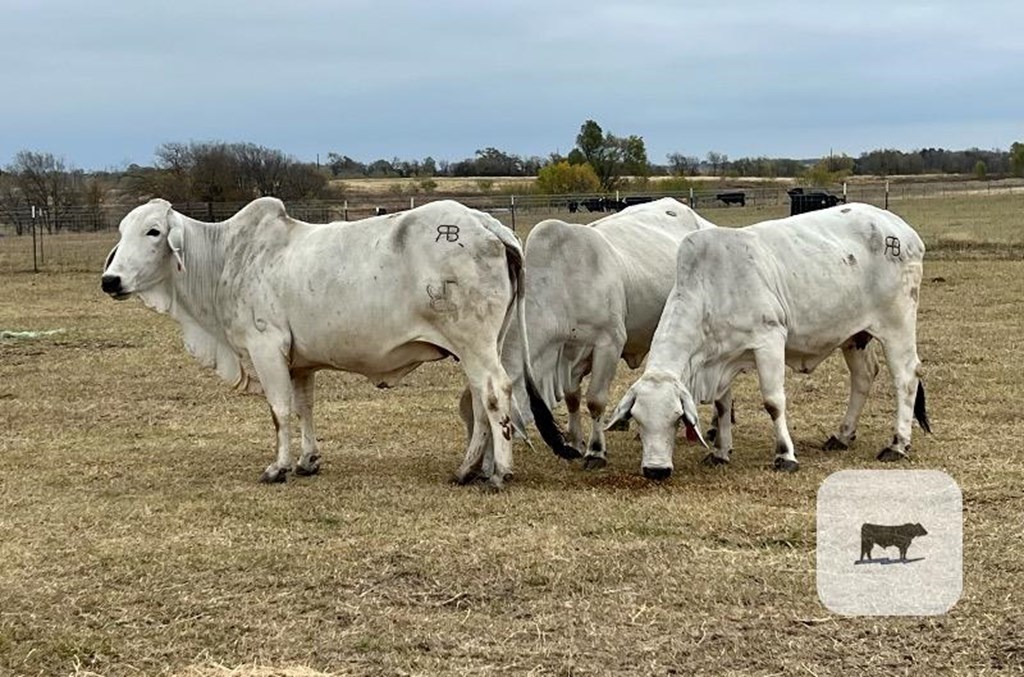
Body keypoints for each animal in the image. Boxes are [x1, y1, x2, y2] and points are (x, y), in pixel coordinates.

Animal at [100, 195, 544, 485]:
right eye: (122, 232)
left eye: (154, 231)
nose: (110, 280)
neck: (227, 257)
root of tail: (485, 223)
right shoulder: (300, 362)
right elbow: (304, 409)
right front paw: (307, 460)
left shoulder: (265, 347)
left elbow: (279, 411)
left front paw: (278, 468)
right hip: (478, 347)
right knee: (480, 399)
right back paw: (471, 468)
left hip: (474, 343)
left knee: (495, 392)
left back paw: (499, 472)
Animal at [505, 197, 716, 467]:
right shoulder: (569, 354)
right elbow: (573, 397)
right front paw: (576, 442)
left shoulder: (609, 344)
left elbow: (595, 401)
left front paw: (595, 451)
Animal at [602, 203, 933, 477]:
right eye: (638, 421)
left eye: (676, 418)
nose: (655, 470)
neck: (711, 288)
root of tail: (902, 230)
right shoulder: (722, 357)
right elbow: (722, 406)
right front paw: (721, 452)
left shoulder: (769, 341)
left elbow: (773, 402)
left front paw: (785, 456)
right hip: (855, 335)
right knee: (863, 376)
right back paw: (843, 435)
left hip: (897, 324)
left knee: (905, 377)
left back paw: (898, 444)